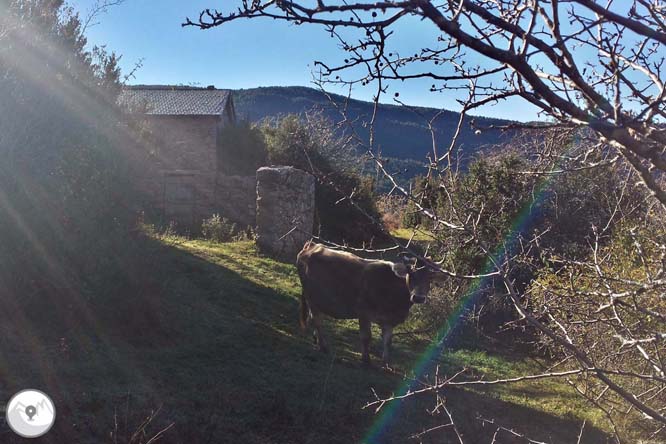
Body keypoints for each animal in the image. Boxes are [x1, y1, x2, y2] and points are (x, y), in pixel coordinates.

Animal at [296, 241, 436, 366]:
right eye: (411, 274)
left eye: (430, 277)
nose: (418, 298)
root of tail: (312, 245)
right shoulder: (364, 313)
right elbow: (366, 337)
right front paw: (366, 360)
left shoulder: (389, 321)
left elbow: (388, 342)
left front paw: (386, 363)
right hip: (311, 297)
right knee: (317, 320)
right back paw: (323, 346)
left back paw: (316, 339)